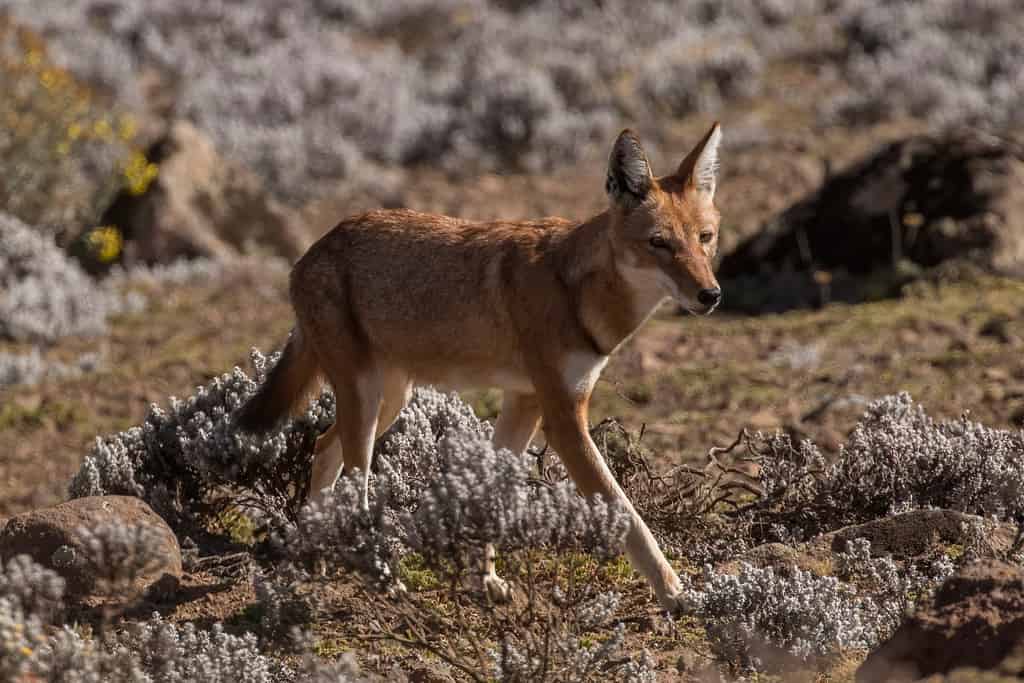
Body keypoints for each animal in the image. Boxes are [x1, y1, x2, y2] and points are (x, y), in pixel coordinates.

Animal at [235, 121, 724, 610]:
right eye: (659, 243)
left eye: (705, 238)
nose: (711, 295)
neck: (577, 292)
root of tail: (313, 249)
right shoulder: (564, 420)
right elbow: (628, 514)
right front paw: (675, 592)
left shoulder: (526, 402)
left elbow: (490, 496)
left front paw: (485, 580)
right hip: (369, 403)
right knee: (354, 483)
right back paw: (381, 577)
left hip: (388, 401)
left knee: (322, 447)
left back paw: (316, 556)